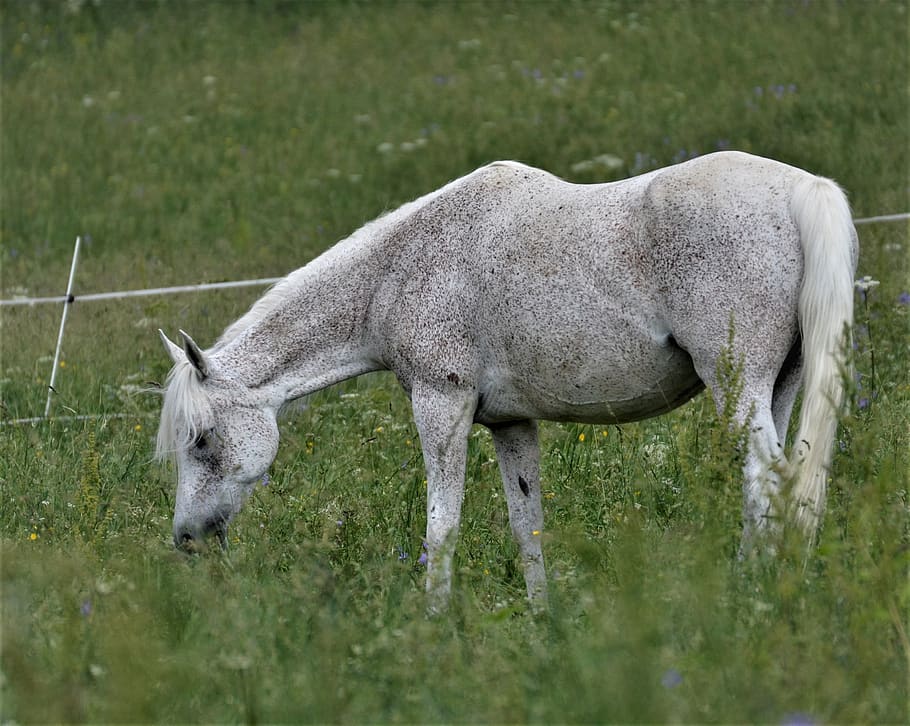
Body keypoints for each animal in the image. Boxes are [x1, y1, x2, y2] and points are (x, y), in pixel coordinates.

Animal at [159, 151, 864, 612]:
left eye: (202, 440)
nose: (186, 539)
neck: (400, 271)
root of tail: (803, 189)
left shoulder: (441, 408)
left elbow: (442, 528)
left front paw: (433, 630)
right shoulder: (510, 425)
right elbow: (528, 527)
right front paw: (541, 624)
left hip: (738, 389)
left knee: (768, 484)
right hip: (775, 391)